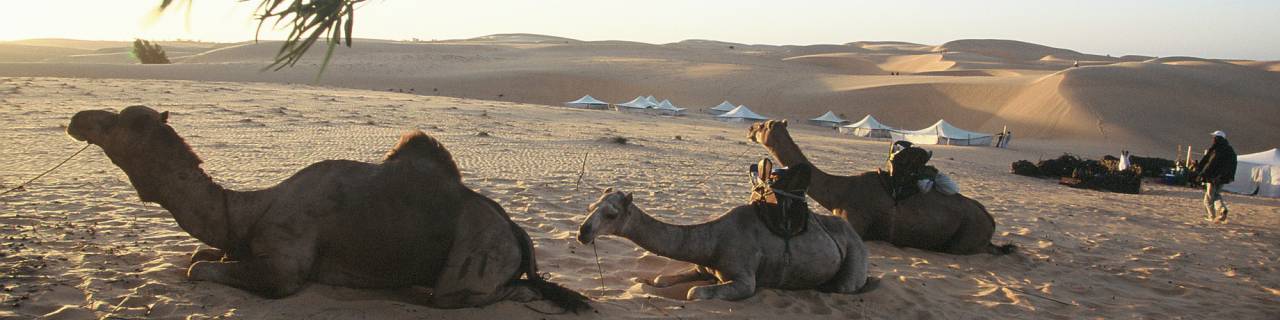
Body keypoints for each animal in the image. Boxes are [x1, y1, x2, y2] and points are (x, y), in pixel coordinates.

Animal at [64, 106, 588, 311]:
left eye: (119, 121)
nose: (77, 119)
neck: (246, 210)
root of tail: (515, 230)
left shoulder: (285, 265)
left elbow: (199, 270)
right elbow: (199, 257)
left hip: (475, 259)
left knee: (478, 293)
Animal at [578, 186, 870, 299]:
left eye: (611, 214)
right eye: (591, 206)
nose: (583, 232)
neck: (715, 239)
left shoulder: (745, 279)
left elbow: (694, 292)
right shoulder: (702, 265)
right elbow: (662, 279)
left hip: (855, 257)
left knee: (843, 286)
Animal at [747, 120, 1013, 254]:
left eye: (762, 126)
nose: (749, 129)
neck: (840, 191)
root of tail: (989, 220)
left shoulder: (856, 224)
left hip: (966, 236)